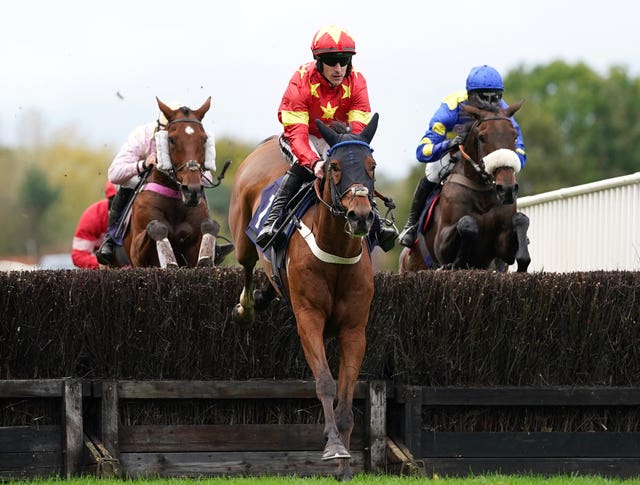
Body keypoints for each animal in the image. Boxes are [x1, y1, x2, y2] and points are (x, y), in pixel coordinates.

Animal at [119, 96, 231, 266]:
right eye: (171, 139)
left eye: (204, 139)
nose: (192, 191)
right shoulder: (136, 254)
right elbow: (156, 226)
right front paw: (170, 261)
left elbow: (209, 225)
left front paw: (205, 259)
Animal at [230, 114, 380, 480]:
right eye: (335, 167)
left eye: (371, 166)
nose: (360, 216)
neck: (336, 253)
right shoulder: (309, 319)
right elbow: (325, 383)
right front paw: (334, 446)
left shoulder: (354, 331)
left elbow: (347, 396)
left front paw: (345, 467)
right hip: (242, 238)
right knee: (247, 264)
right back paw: (247, 307)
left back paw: (265, 294)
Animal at [400, 101, 528, 272]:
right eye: (482, 137)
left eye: (514, 135)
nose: (507, 189)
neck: (481, 192)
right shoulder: (440, 246)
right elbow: (467, 224)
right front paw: (458, 262)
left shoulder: (502, 249)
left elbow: (521, 220)